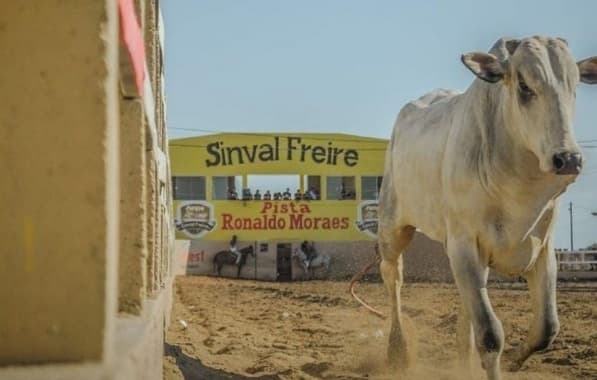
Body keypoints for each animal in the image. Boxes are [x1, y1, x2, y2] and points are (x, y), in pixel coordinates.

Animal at [378, 35, 596, 380]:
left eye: (575, 85)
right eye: (524, 85)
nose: (569, 159)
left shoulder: (542, 249)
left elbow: (547, 329)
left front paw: (514, 360)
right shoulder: (466, 244)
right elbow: (491, 335)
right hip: (393, 225)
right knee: (393, 276)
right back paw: (397, 350)